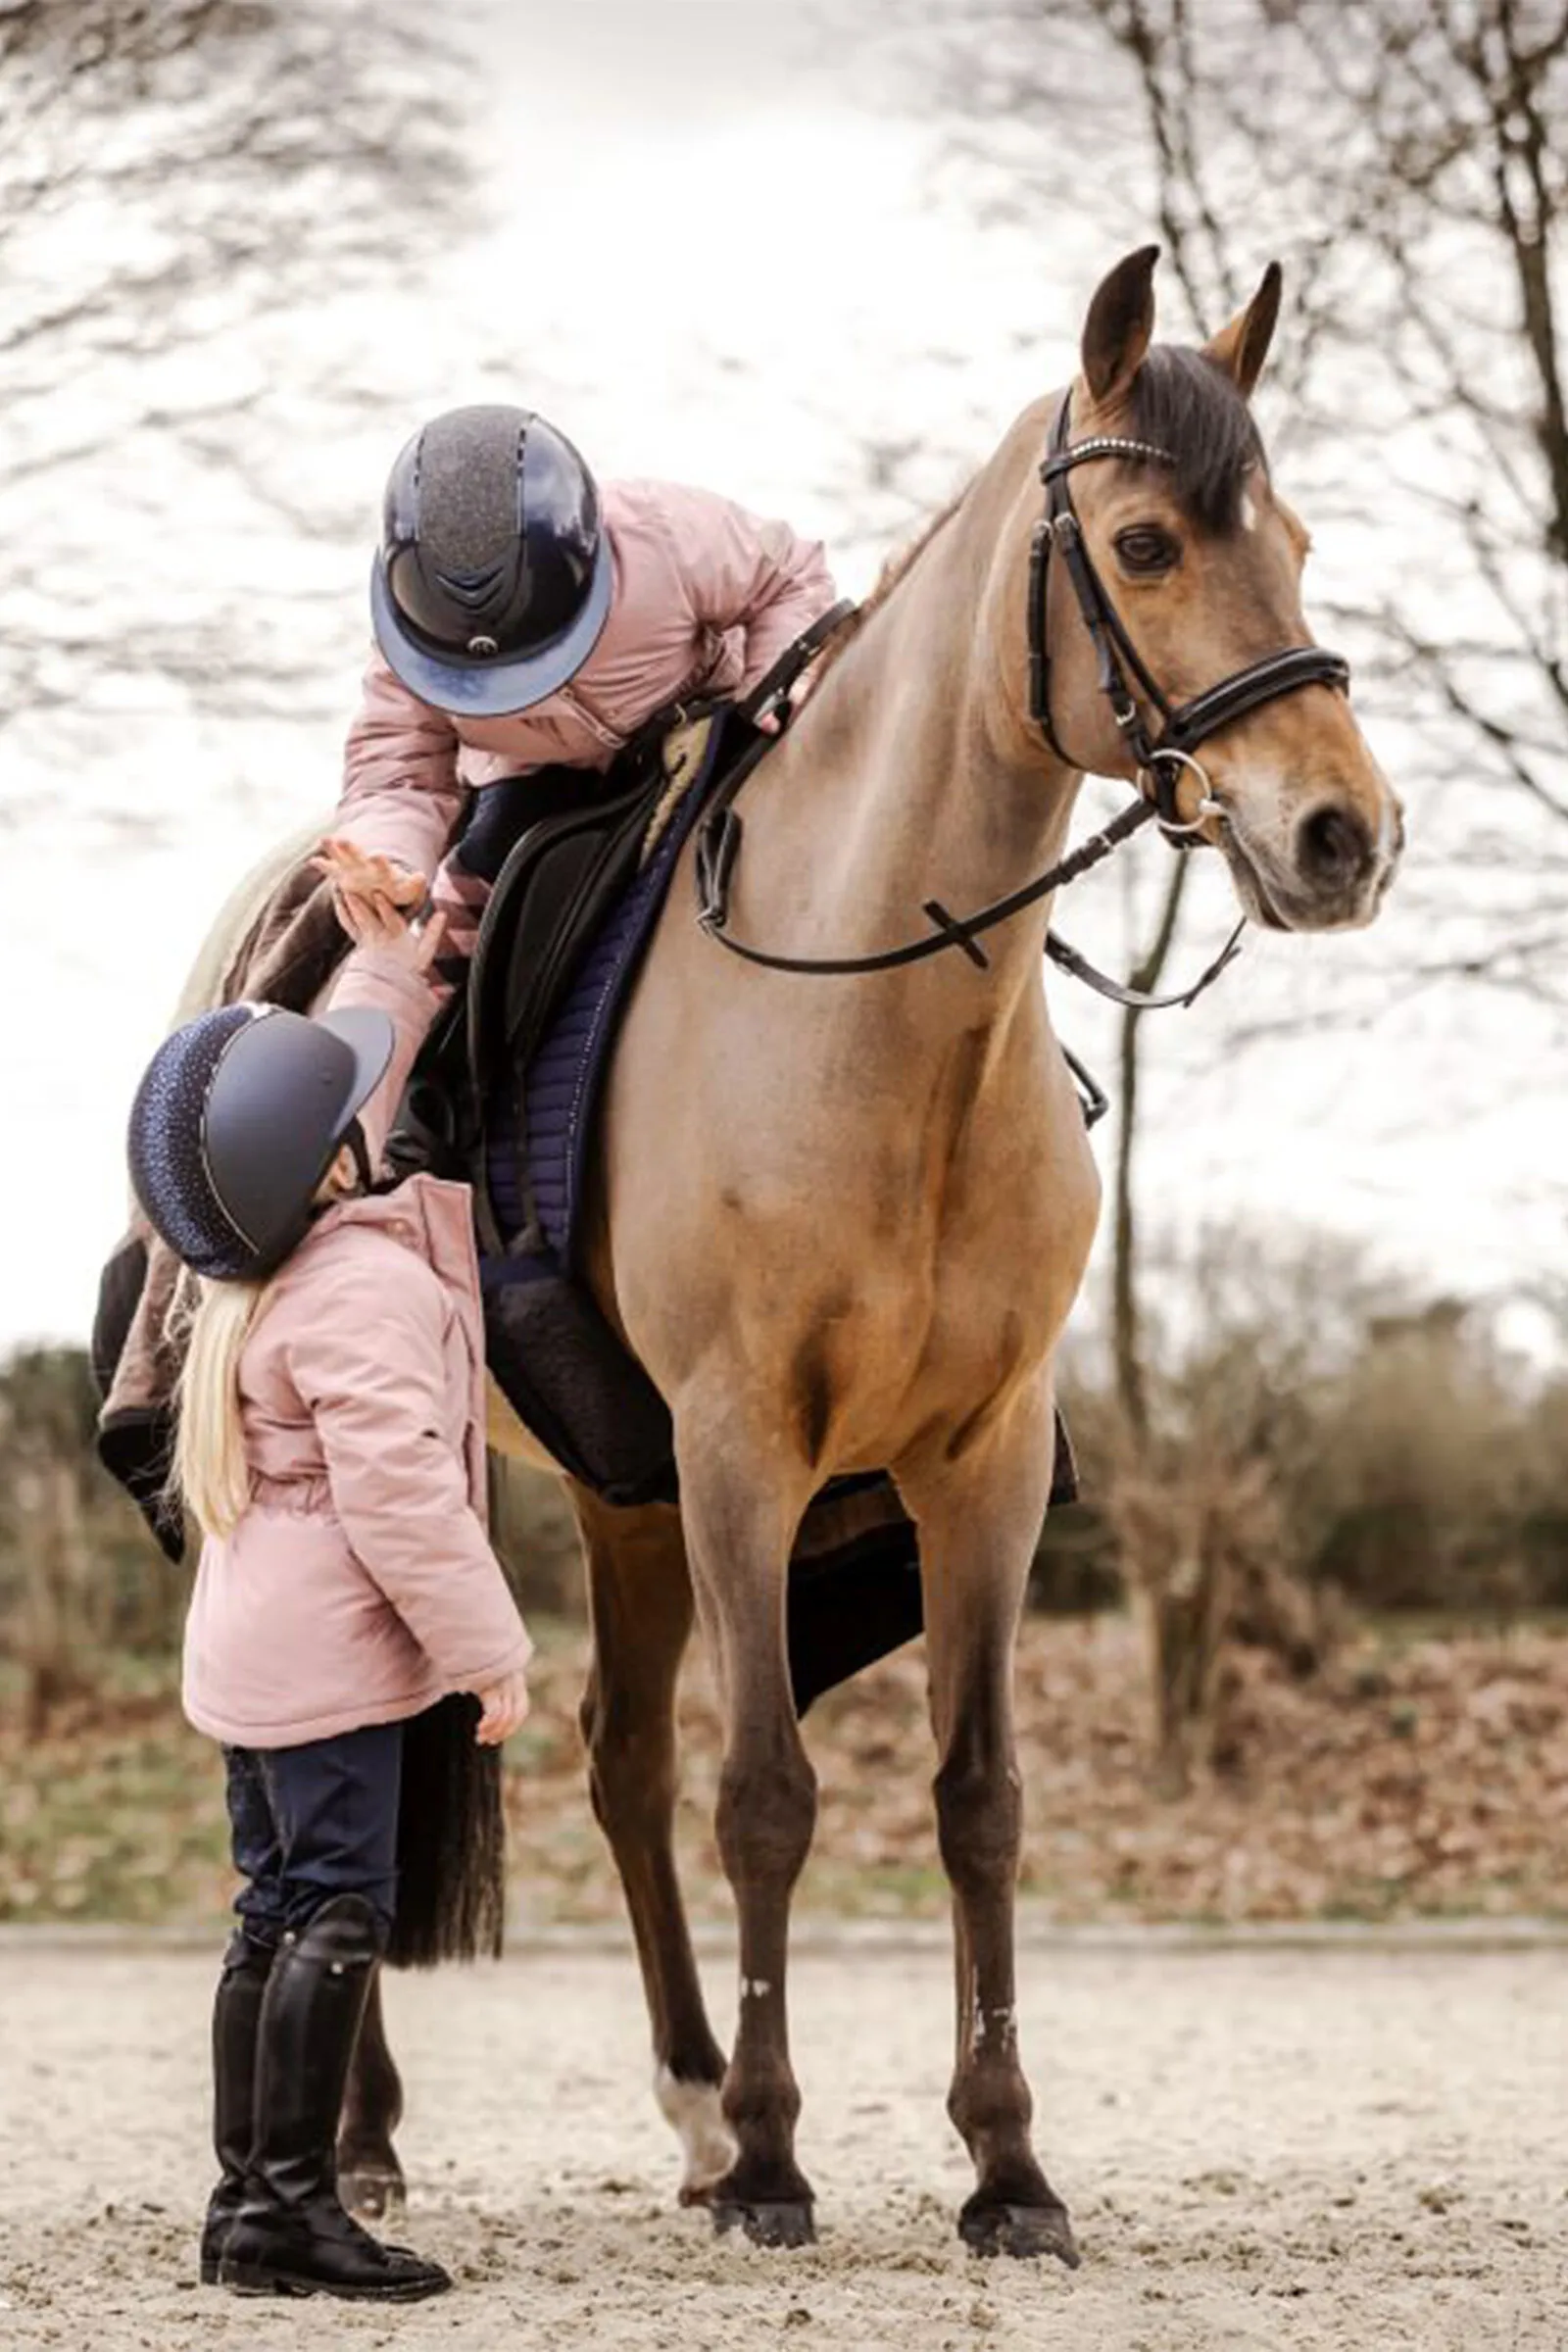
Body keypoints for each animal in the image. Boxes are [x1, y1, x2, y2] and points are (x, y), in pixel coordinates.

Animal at [169, 243, 1400, 2258]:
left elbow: (978, 1801)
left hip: (621, 1496)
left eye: (1293, 536)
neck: (879, 1021)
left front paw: (1004, 2166)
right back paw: (370, 2141)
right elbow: (768, 1791)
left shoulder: (982, 1467)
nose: (1343, 836)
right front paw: (771, 2158)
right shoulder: (747, 1447)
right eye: (1145, 544)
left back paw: (662, 2102)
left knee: (613, 1760)